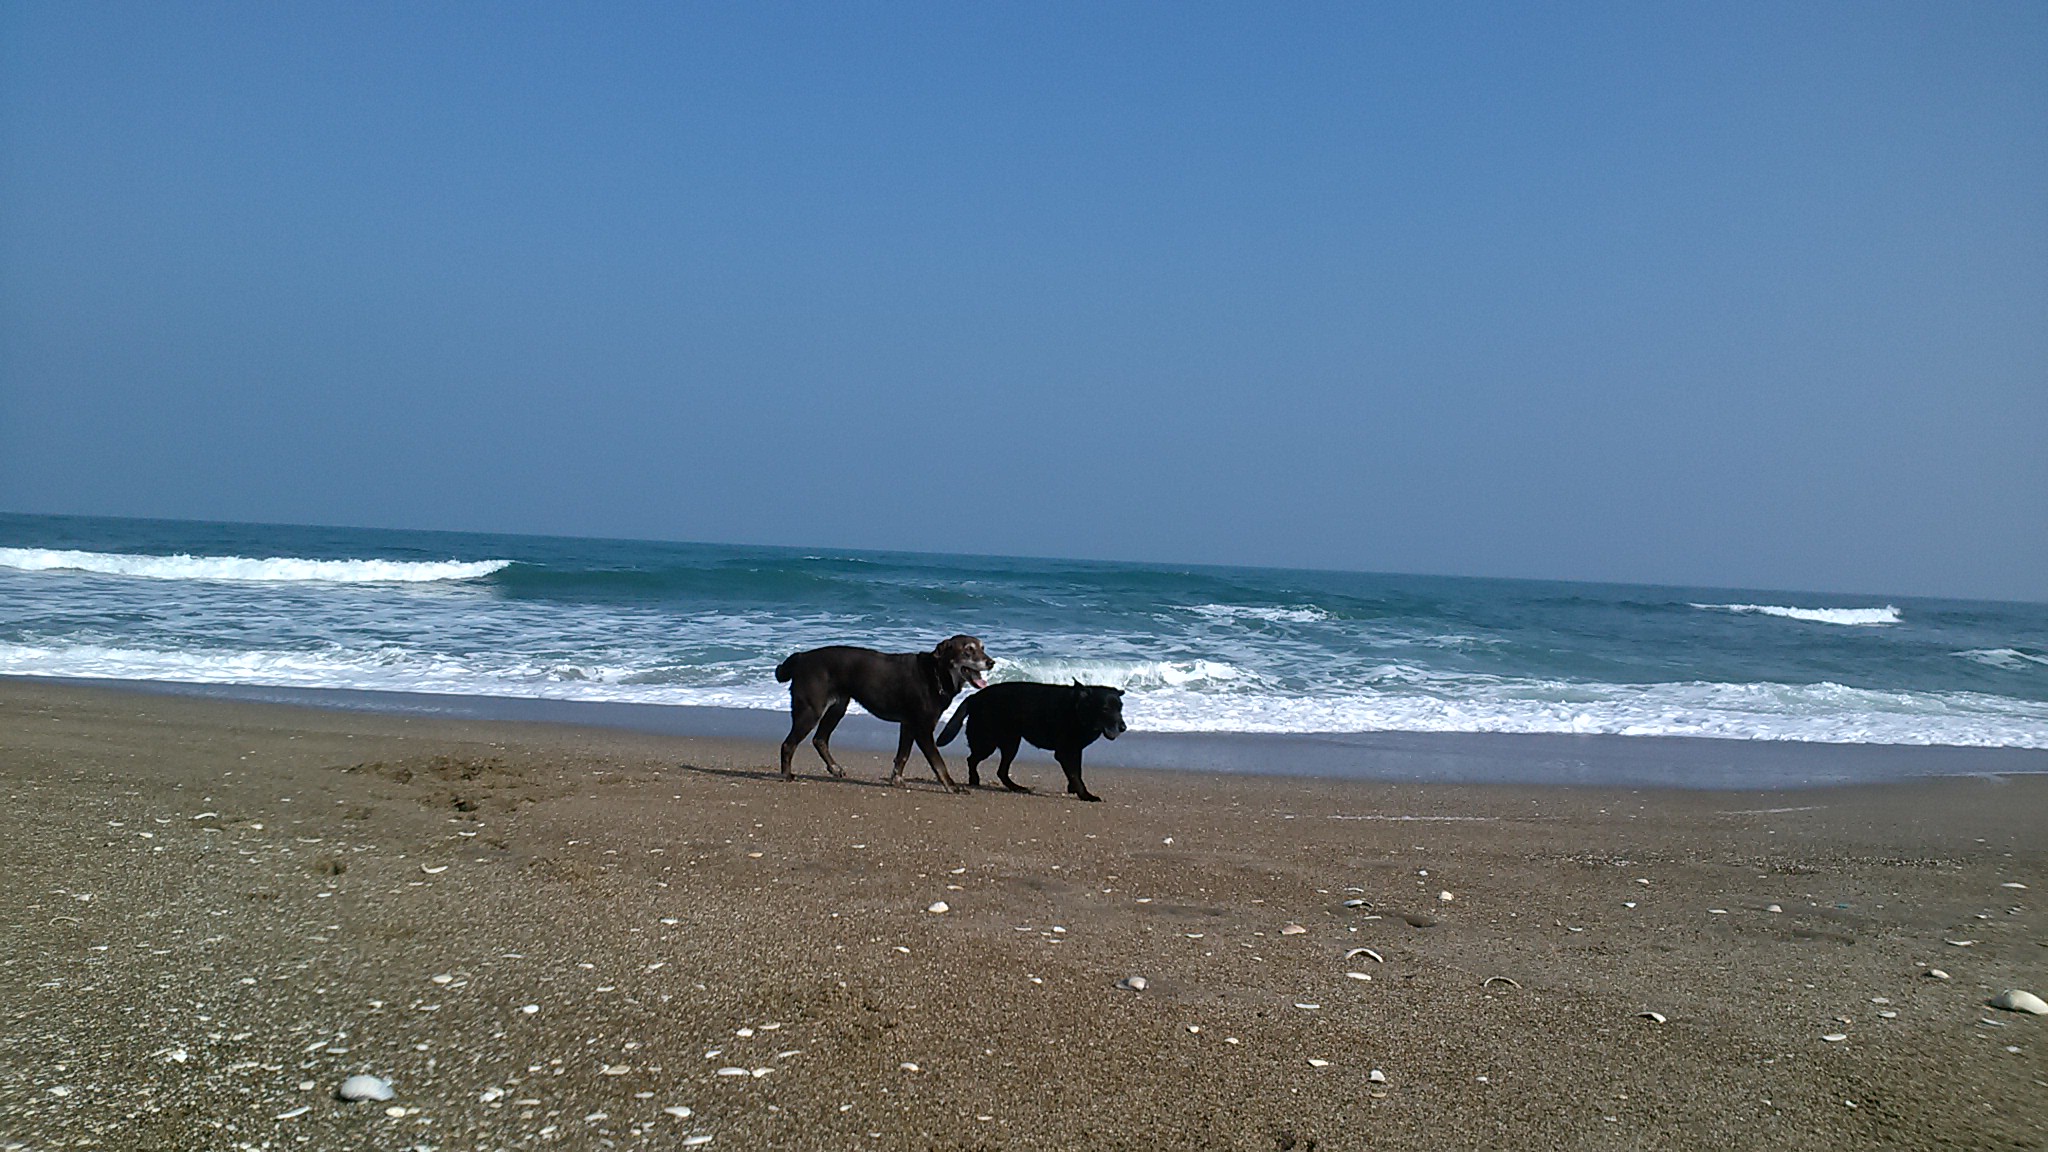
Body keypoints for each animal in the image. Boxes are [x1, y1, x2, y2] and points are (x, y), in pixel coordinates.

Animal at [774, 635, 993, 791]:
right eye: (968, 650)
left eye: (983, 648)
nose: (991, 662)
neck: (936, 674)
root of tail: (801, 657)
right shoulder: (923, 728)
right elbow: (938, 762)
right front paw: (951, 786)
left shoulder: (908, 725)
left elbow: (902, 756)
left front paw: (896, 779)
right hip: (811, 710)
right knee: (788, 744)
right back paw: (787, 775)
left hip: (838, 707)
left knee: (819, 739)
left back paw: (835, 768)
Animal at [937, 680, 1126, 802]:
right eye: (1105, 709)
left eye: (1120, 708)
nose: (1124, 727)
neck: (1078, 709)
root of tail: (975, 696)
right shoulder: (1065, 752)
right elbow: (1075, 774)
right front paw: (1086, 795)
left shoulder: (1075, 750)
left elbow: (1076, 772)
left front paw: (1074, 788)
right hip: (988, 743)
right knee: (972, 759)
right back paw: (974, 779)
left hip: (1011, 743)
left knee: (1000, 770)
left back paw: (1016, 787)